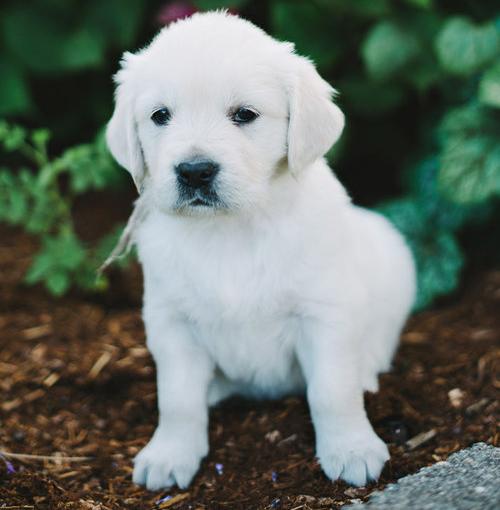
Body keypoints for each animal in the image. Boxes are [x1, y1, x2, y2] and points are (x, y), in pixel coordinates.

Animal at [107, 11, 416, 490]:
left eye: (245, 115)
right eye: (160, 116)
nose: (194, 171)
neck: (231, 228)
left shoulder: (324, 313)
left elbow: (331, 390)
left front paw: (350, 449)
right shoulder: (171, 322)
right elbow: (176, 399)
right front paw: (170, 453)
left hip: (393, 254)